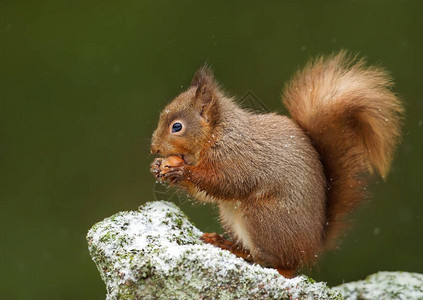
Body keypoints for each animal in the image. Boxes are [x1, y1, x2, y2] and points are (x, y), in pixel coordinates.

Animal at [149, 52, 404, 278]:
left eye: (177, 127)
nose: (154, 149)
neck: (216, 134)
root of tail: (312, 247)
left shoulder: (238, 158)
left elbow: (226, 183)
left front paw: (182, 171)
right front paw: (159, 167)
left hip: (262, 217)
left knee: (282, 264)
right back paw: (226, 243)